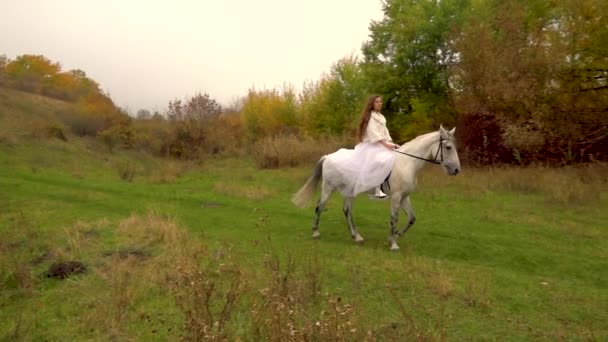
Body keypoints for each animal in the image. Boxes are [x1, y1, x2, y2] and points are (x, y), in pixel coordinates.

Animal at [290, 125, 460, 251]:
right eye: (448, 147)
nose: (457, 170)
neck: (407, 163)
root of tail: (328, 157)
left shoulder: (404, 196)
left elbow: (412, 218)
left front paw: (396, 235)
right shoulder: (396, 197)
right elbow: (394, 218)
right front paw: (393, 244)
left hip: (348, 191)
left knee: (346, 210)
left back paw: (356, 236)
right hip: (328, 188)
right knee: (320, 206)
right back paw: (316, 233)